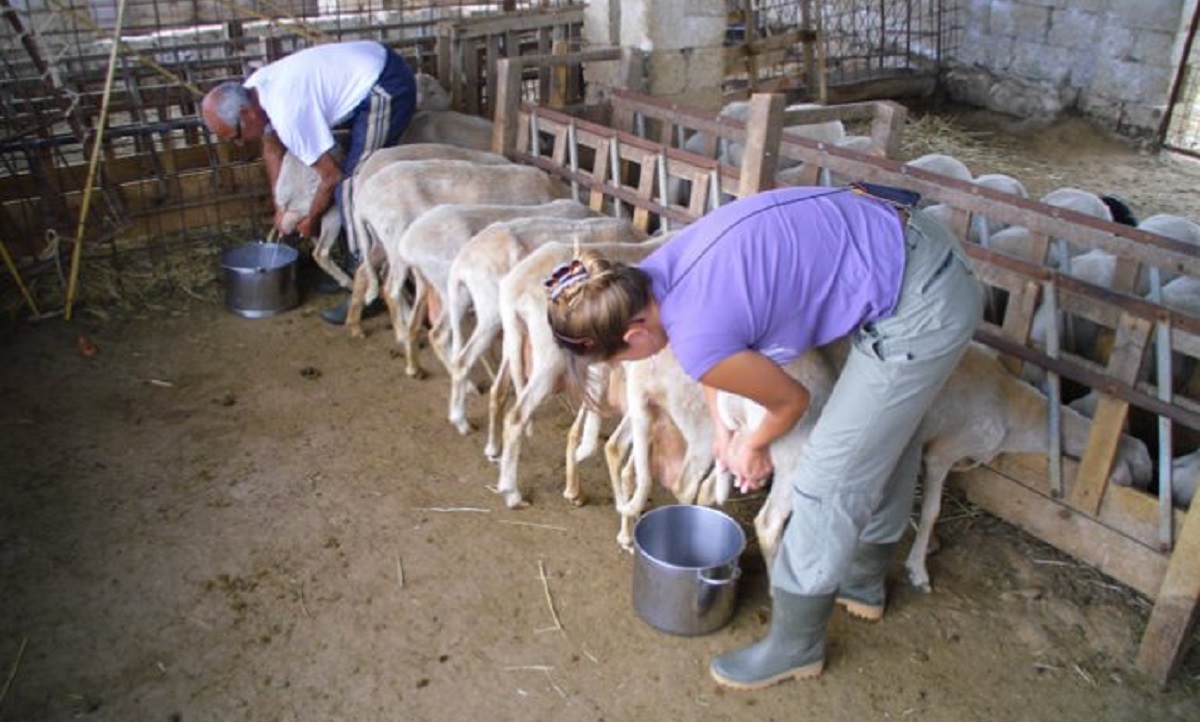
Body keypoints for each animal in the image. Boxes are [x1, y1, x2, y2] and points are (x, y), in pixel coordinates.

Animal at [444, 212, 648, 431]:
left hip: (488, 315)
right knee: (466, 361)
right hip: (498, 316)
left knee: (476, 370)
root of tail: (462, 259)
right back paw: (463, 421)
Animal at [492, 236, 672, 506]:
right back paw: (513, 494)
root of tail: (514, 287)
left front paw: (575, 486)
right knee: (516, 416)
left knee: (499, 390)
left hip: (514, 343)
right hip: (549, 359)